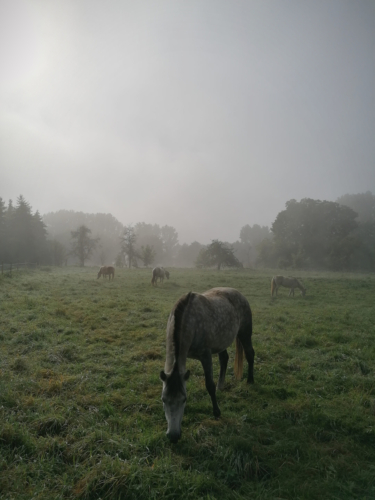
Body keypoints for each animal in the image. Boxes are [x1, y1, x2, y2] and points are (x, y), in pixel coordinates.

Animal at [160, 288, 254, 444]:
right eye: (163, 399)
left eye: (184, 399)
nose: (173, 436)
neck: (190, 322)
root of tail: (239, 294)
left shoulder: (206, 355)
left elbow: (209, 385)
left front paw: (216, 413)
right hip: (222, 341)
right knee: (224, 359)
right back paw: (221, 385)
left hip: (245, 332)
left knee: (250, 354)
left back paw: (250, 380)